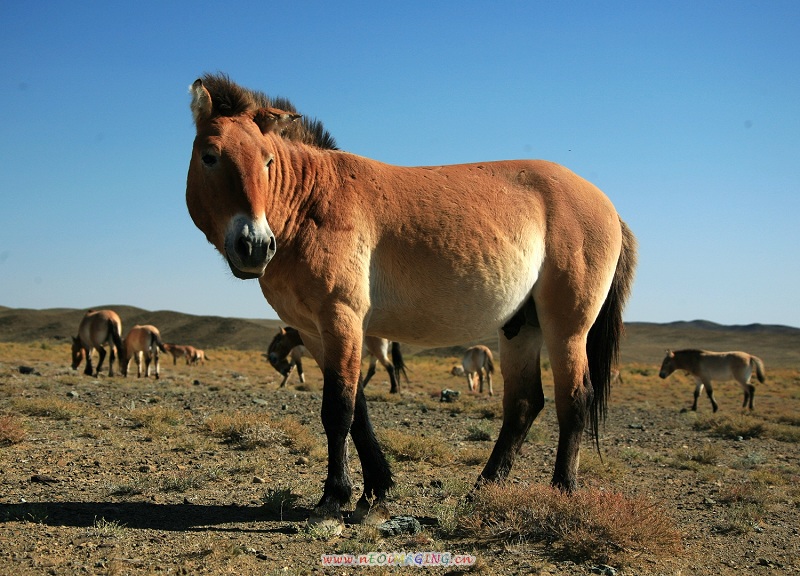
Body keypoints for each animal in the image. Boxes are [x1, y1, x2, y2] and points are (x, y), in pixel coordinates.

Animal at [267, 326, 407, 392]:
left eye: (278, 342)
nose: (272, 357)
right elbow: (292, 369)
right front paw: (283, 384)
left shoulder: (298, 354)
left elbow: (297, 369)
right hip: (374, 355)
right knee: (372, 371)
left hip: (379, 353)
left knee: (390, 367)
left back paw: (393, 389)